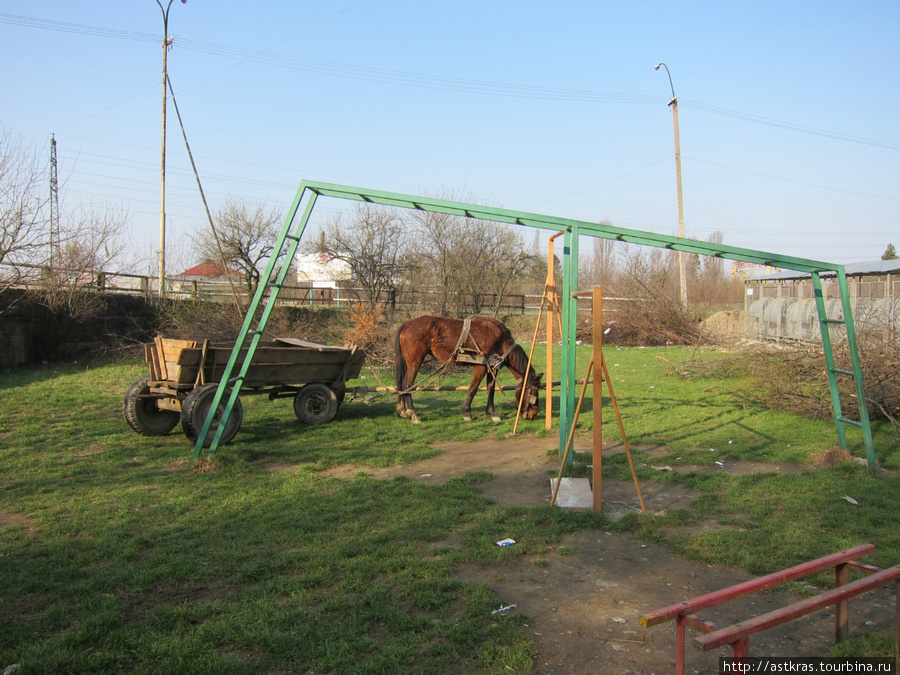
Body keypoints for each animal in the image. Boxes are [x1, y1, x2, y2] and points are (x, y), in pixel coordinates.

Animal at [396, 316, 540, 422]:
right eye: (533, 393)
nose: (533, 414)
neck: (499, 339)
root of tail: (406, 325)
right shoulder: (480, 367)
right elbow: (473, 389)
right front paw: (466, 412)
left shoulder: (492, 368)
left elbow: (491, 390)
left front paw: (492, 413)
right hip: (415, 362)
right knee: (407, 384)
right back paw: (413, 414)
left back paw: (403, 410)